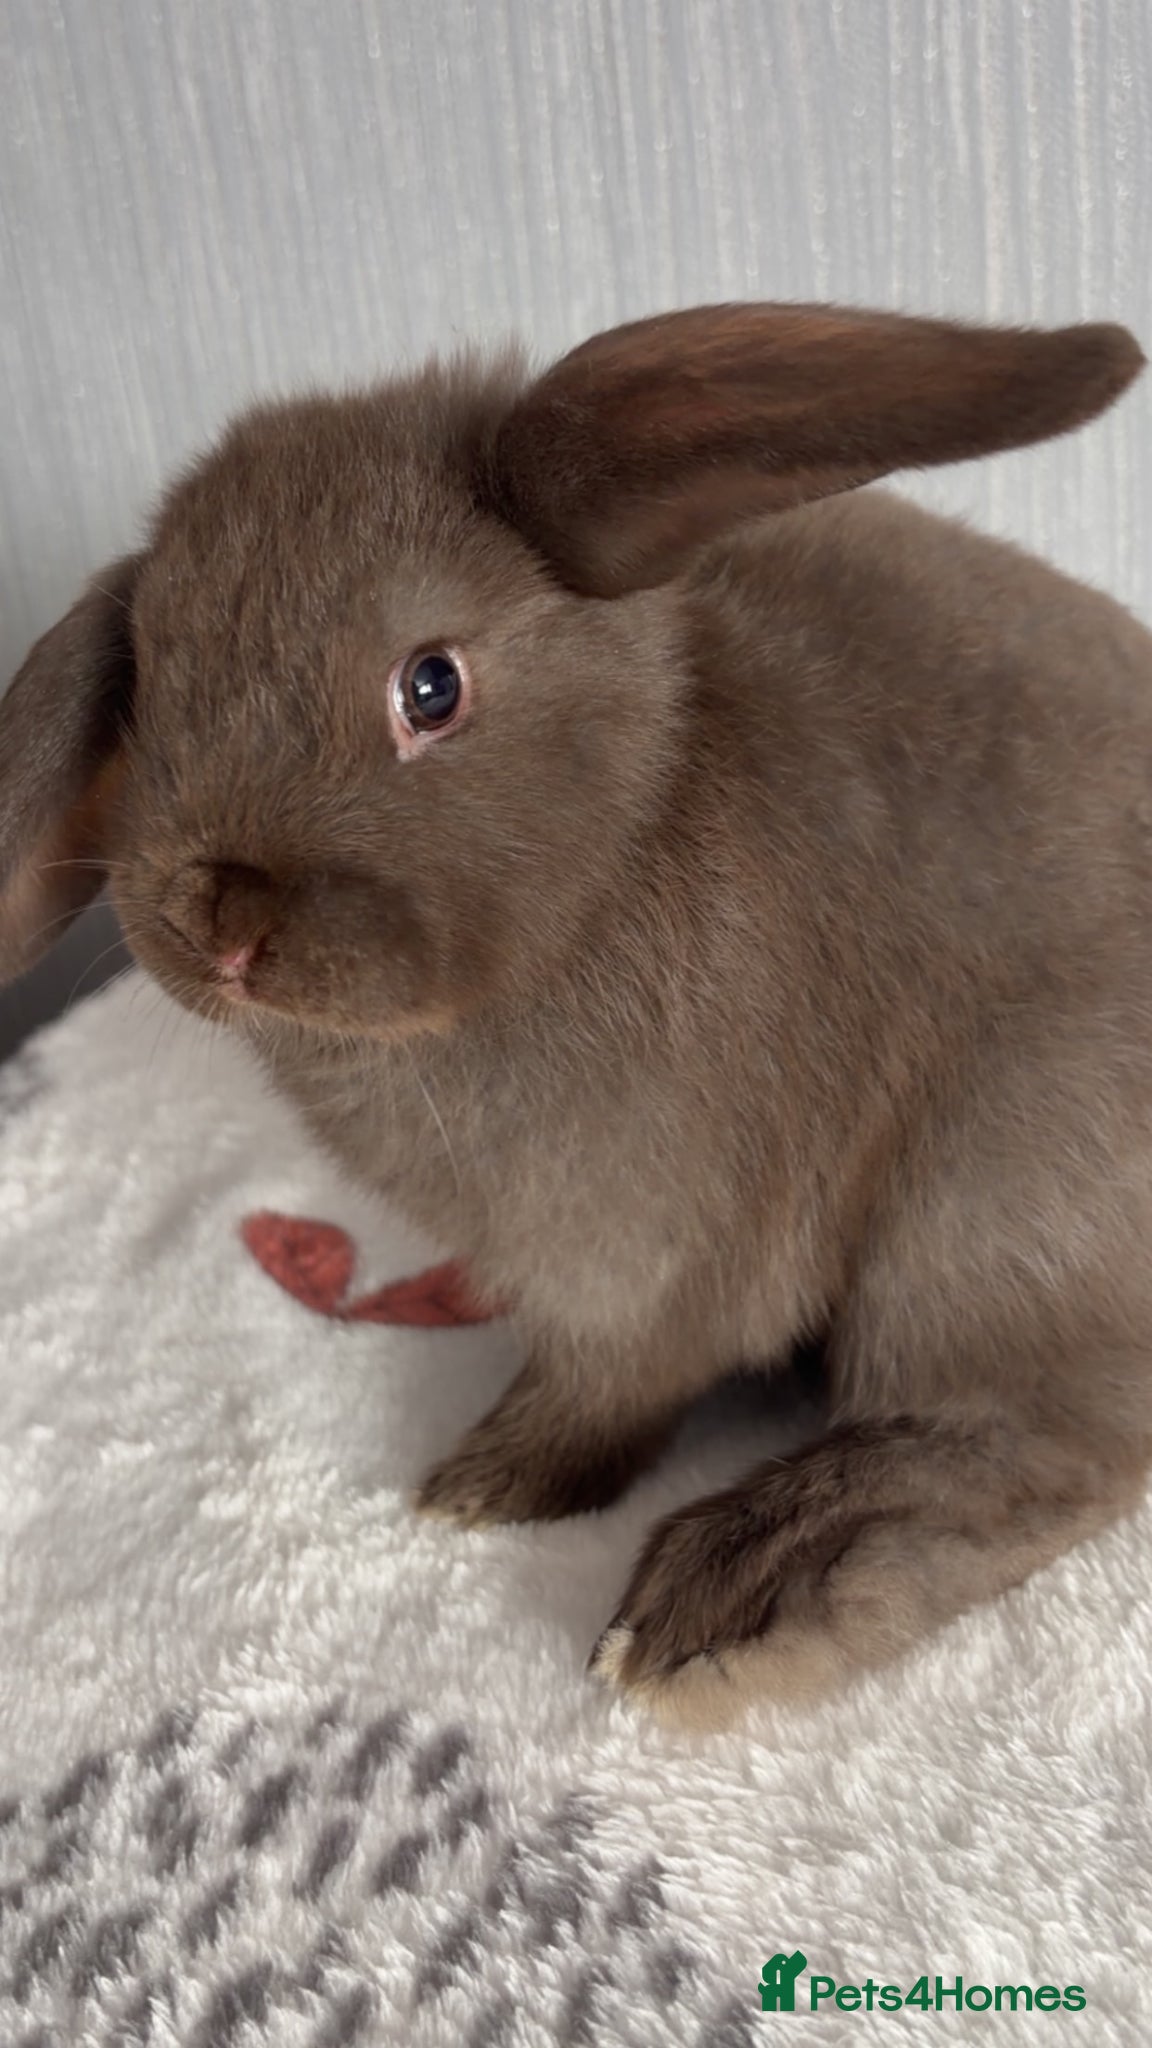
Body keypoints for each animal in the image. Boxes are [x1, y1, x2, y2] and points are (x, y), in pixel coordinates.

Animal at [1, 300, 1150, 1731]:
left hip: (990, 1196)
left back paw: (730, 1602)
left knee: (1052, 1438)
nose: (221, 922)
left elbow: (609, 1385)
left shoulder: (645, 1264)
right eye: (152, 681)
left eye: (431, 685)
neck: (627, 829)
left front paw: (490, 1480)